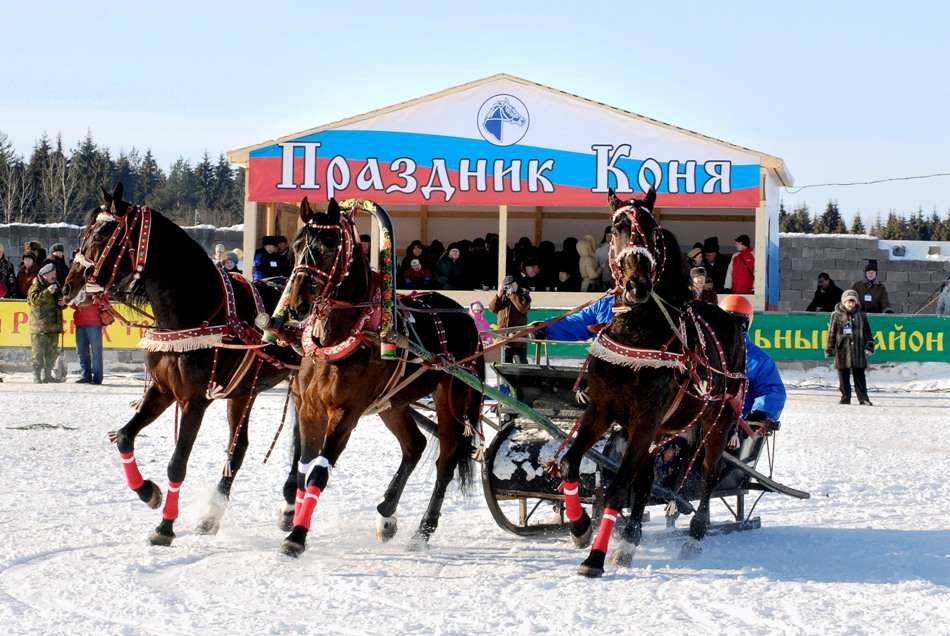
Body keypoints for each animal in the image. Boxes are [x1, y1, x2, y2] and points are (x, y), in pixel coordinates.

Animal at [61, 183, 300, 548]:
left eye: (102, 233)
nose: (68, 285)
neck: (195, 311)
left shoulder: (194, 401)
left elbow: (177, 464)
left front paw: (165, 526)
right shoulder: (163, 390)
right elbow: (125, 437)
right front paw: (148, 493)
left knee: (300, 447)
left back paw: (288, 507)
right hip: (243, 394)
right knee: (238, 450)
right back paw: (212, 517)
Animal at [274, 198, 484, 556]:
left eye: (330, 248)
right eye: (298, 247)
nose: (296, 307)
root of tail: (465, 316)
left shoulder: (345, 414)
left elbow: (318, 473)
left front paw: (297, 537)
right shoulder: (309, 409)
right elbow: (303, 467)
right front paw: (293, 516)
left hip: (452, 399)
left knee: (446, 461)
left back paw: (423, 530)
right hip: (392, 403)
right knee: (415, 445)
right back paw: (387, 514)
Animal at [556, 185, 752, 576]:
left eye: (652, 230)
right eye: (617, 228)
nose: (637, 286)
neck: (637, 333)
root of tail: (733, 324)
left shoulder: (645, 419)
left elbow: (618, 488)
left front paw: (594, 557)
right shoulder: (602, 411)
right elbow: (571, 463)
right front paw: (580, 527)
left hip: (717, 421)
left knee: (708, 475)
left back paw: (694, 536)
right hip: (657, 433)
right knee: (646, 482)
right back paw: (629, 539)